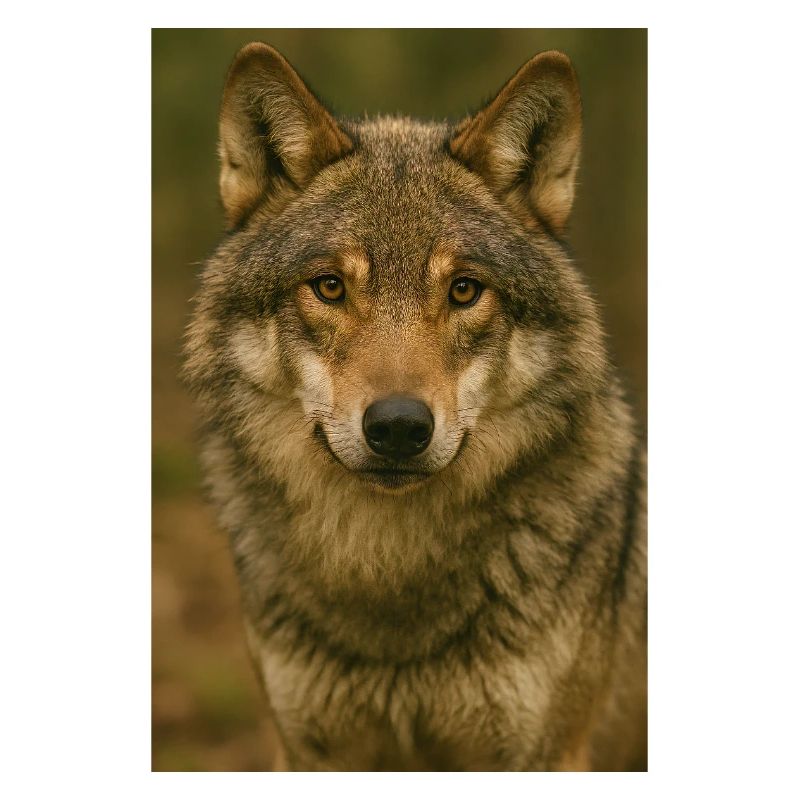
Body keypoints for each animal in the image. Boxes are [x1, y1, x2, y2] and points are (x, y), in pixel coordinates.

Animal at [183, 41, 647, 771]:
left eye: (464, 290)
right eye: (330, 287)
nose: (398, 427)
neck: (390, 582)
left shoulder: (546, 754)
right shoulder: (309, 751)